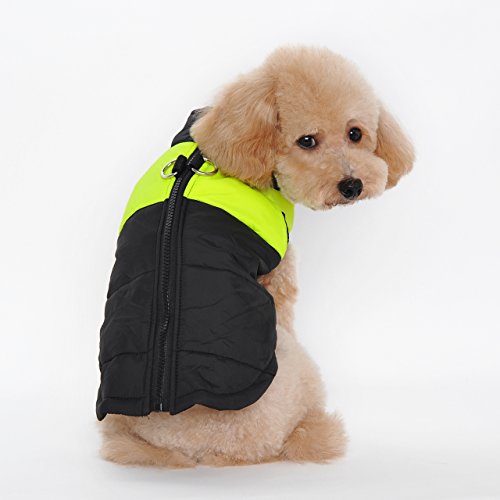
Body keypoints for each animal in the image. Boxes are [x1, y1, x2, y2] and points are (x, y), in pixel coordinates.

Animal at [98, 46, 414, 467]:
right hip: (297, 367)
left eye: (355, 134)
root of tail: (197, 451)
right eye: (307, 140)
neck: (210, 155)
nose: (351, 185)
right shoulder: (278, 274)